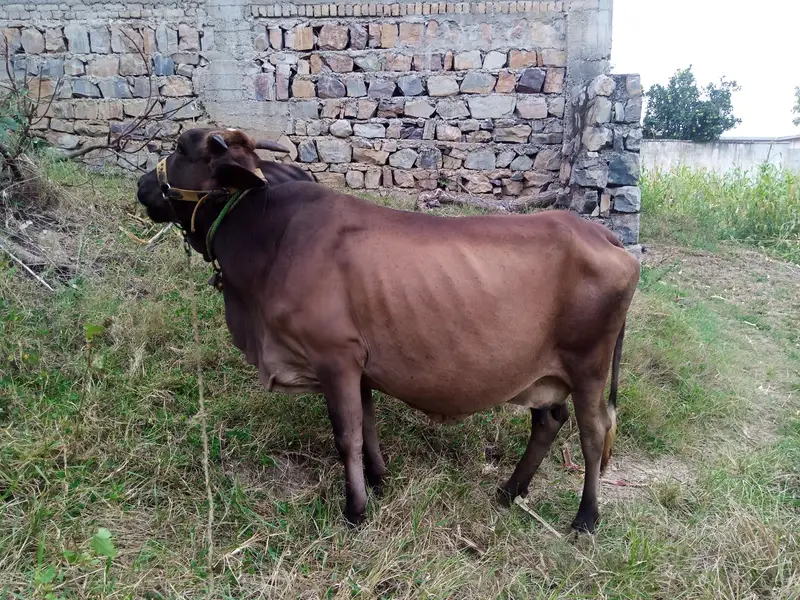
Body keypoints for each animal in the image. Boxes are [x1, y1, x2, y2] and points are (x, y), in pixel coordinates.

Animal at [136, 127, 640, 534]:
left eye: (180, 147)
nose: (143, 185)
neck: (270, 237)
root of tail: (603, 235)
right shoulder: (359, 366)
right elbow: (368, 427)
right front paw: (379, 481)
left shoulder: (334, 358)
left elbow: (347, 436)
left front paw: (355, 509)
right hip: (547, 372)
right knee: (549, 420)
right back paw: (509, 490)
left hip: (589, 366)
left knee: (594, 432)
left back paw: (585, 518)